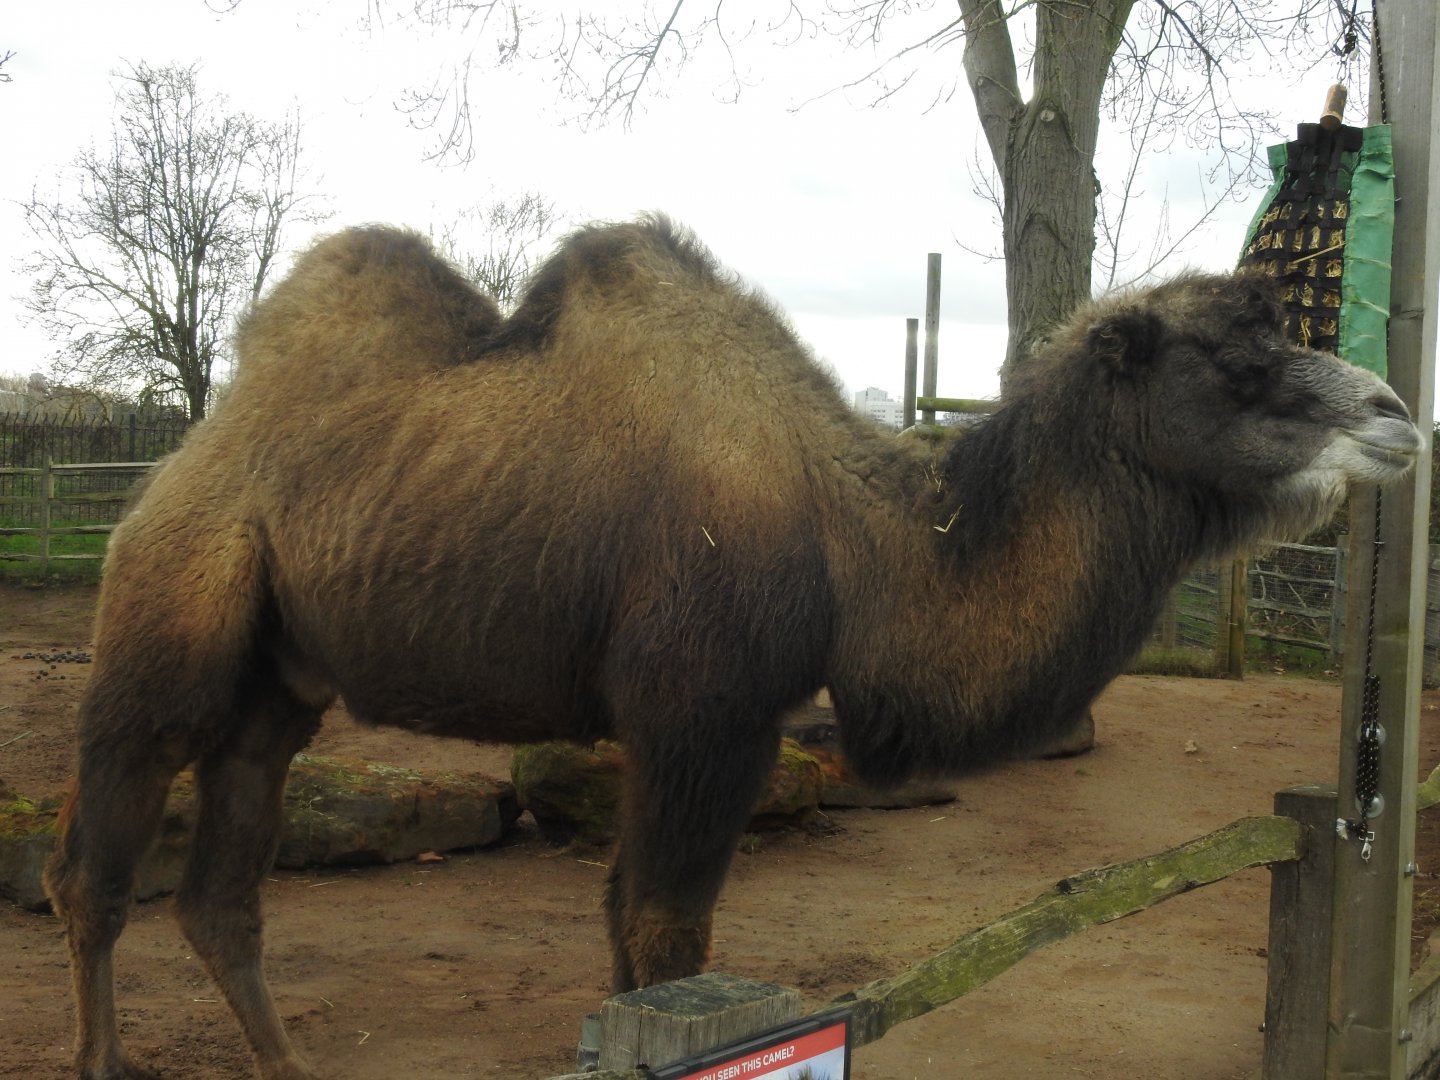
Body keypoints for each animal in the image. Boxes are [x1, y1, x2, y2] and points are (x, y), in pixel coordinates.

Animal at [45, 218, 1420, 1080]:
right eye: (1236, 361)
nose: (1399, 415)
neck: (863, 538)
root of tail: (173, 468)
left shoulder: (708, 726)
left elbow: (631, 940)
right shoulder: (703, 714)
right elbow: (663, 939)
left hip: (281, 680)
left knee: (222, 890)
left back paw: (289, 1061)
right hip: (171, 612)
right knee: (95, 867)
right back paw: (103, 1056)